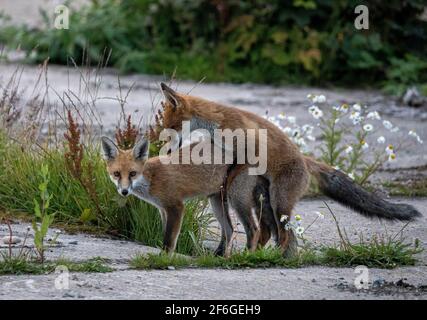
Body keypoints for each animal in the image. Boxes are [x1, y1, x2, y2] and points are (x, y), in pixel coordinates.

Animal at [101, 136, 280, 256]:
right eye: (117, 174)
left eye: (132, 173)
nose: (124, 192)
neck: (151, 178)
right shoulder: (163, 209)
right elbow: (165, 235)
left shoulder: (176, 206)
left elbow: (169, 240)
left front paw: (163, 259)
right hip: (217, 200)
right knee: (230, 229)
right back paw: (219, 257)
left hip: (236, 198)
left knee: (254, 229)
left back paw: (245, 256)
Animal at [156, 83, 422, 255]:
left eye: (171, 127)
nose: (165, 150)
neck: (217, 124)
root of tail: (305, 159)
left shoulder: (249, 153)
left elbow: (237, 171)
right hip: (266, 203)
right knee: (273, 233)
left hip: (279, 202)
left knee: (285, 236)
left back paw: (275, 258)